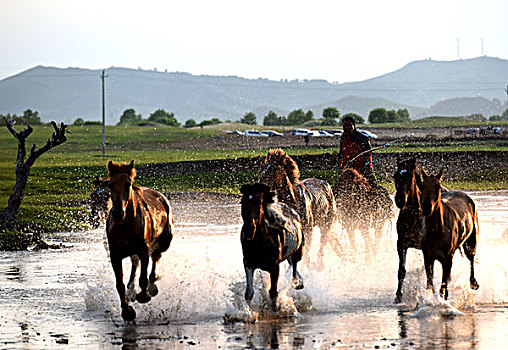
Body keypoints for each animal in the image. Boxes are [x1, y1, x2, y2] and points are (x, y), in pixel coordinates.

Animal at [105, 160, 175, 322]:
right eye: (110, 185)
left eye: (128, 184)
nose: (118, 213)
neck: (125, 225)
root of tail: (161, 196)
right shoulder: (115, 256)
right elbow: (119, 284)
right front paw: (127, 311)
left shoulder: (143, 250)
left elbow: (143, 277)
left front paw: (144, 295)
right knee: (135, 263)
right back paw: (131, 291)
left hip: (164, 242)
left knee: (155, 258)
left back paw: (151, 287)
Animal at [240, 182, 304, 310]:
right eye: (242, 202)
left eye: (259, 203)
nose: (249, 229)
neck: (260, 243)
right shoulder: (248, 262)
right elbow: (249, 293)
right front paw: (247, 311)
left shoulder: (275, 266)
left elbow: (273, 292)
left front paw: (277, 308)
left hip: (298, 252)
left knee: (294, 266)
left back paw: (297, 283)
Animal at [418, 168, 478, 300]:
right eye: (421, 186)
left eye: (438, 186)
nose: (427, 207)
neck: (436, 232)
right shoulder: (428, 258)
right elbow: (430, 284)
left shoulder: (447, 258)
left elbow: (443, 289)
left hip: (471, 241)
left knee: (471, 258)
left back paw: (473, 283)